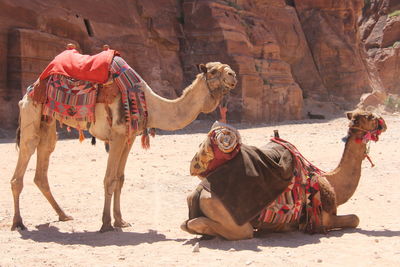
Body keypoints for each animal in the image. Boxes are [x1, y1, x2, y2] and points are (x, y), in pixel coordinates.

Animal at [10, 47, 238, 233]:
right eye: (213, 71)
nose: (233, 75)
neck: (151, 104)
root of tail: (31, 88)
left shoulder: (129, 139)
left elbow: (120, 179)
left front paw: (120, 221)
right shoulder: (118, 136)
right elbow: (109, 179)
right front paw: (105, 223)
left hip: (47, 122)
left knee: (42, 167)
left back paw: (63, 215)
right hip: (31, 114)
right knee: (21, 166)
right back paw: (18, 223)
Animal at [183, 110, 386, 242]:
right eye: (369, 116)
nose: (383, 122)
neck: (331, 182)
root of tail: (199, 191)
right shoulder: (325, 218)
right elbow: (355, 218)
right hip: (229, 215)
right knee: (233, 229)